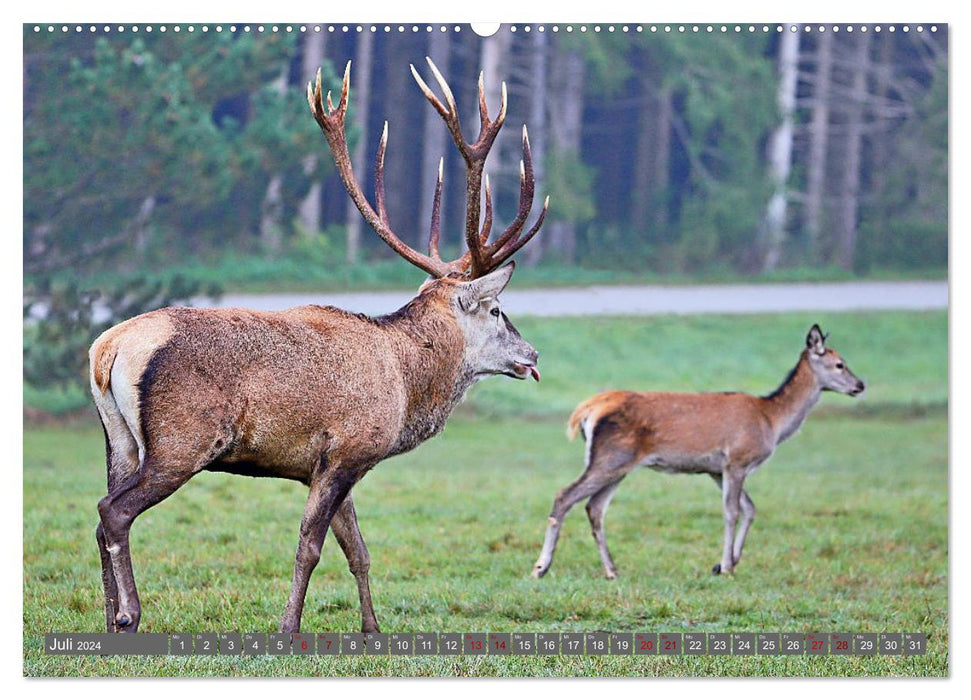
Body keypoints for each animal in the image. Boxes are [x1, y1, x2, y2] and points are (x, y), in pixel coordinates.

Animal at [90, 60, 548, 636]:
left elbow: (358, 550)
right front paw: (289, 627)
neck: (406, 385)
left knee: (100, 510)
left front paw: (372, 630)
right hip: (182, 441)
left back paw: (110, 619)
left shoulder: (335, 465)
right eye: (495, 309)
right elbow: (310, 546)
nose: (532, 356)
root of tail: (109, 349)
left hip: (118, 440)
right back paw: (129, 614)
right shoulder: (346, 450)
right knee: (114, 512)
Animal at [532, 326, 864, 584]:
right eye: (839, 364)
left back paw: (612, 570)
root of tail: (587, 409)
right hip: (610, 458)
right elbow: (732, 512)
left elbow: (750, 509)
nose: (860, 385)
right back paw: (541, 567)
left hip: (618, 464)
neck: (771, 421)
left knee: (595, 507)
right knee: (565, 495)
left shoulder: (716, 470)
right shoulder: (737, 460)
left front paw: (723, 563)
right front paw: (726, 566)